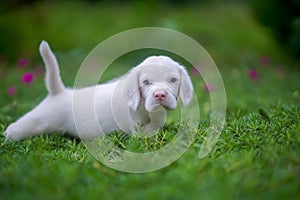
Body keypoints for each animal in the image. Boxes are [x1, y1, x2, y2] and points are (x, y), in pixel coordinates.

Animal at [4, 40, 193, 141]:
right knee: (16, 127)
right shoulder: (133, 125)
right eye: (146, 82)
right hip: (39, 120)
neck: (143, 108)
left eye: (173, 80)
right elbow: (144, 133)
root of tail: (59, 92)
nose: (160, 94)